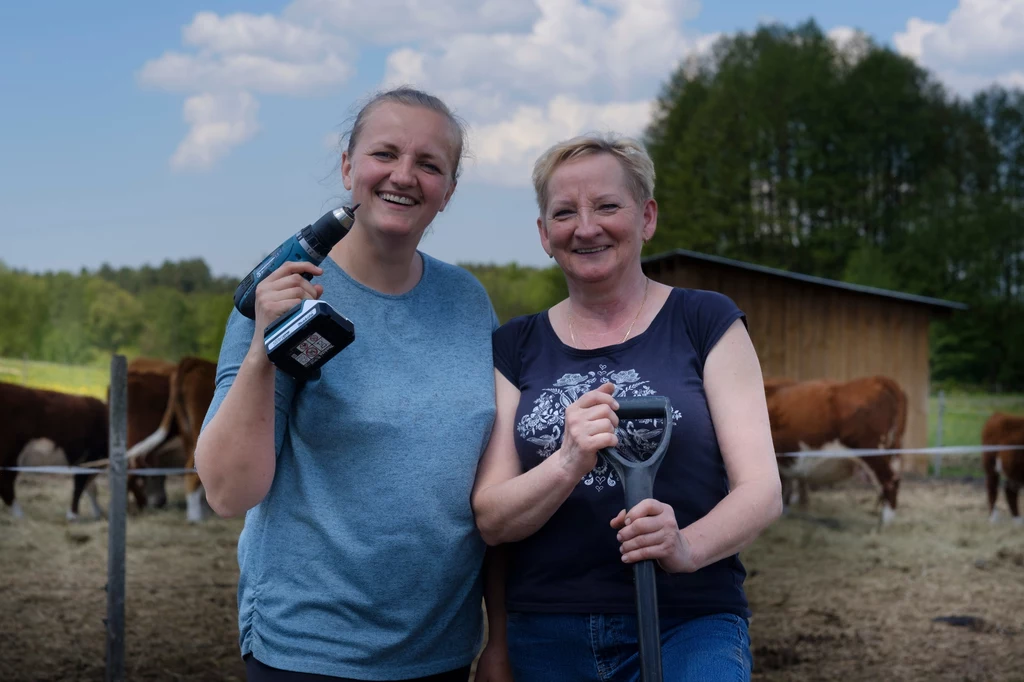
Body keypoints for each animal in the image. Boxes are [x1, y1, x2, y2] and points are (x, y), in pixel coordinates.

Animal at [0, 378, 108, 518]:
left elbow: (91, 488)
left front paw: (97, 513)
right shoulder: (87, 460)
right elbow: (80, 486)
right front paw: (73, 515)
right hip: (11, 453)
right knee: (6, 483)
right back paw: (19, 514)